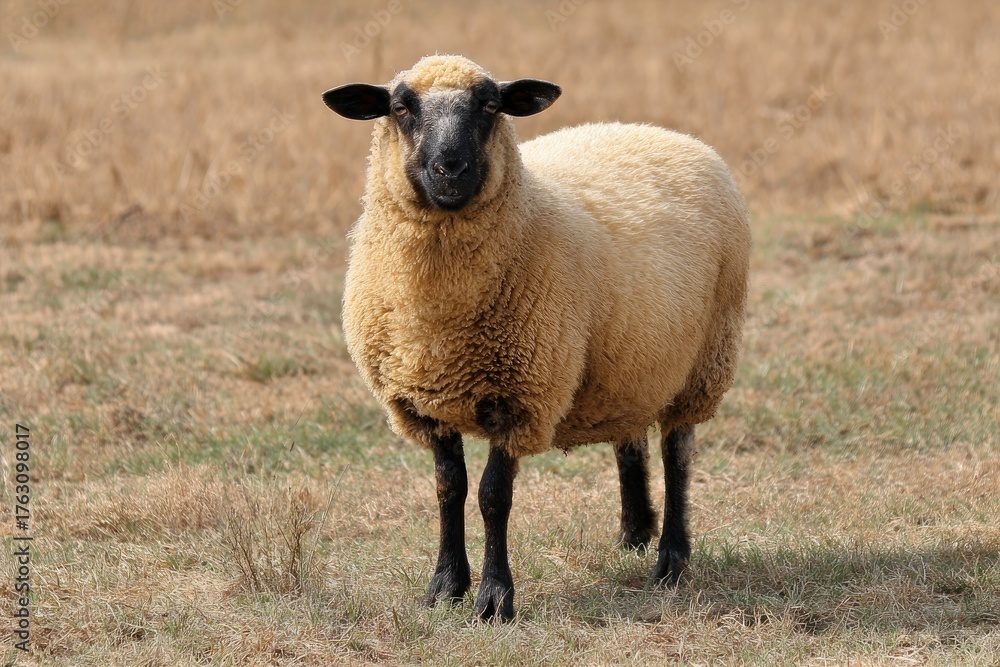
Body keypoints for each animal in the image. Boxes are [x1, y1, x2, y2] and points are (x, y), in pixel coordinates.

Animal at [321, 54, 751, 621]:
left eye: (489, 105)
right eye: (400, 107)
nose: (450, 169)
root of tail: (660, 131)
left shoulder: (521, 395)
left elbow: (492, 496)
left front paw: (494, 599)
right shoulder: (424, 402)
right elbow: (448, 489)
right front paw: (444, 587)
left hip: (703, 363)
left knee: (678, 455)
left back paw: (671, 561)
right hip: (630, 361)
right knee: (630, 439)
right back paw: (634, 533)